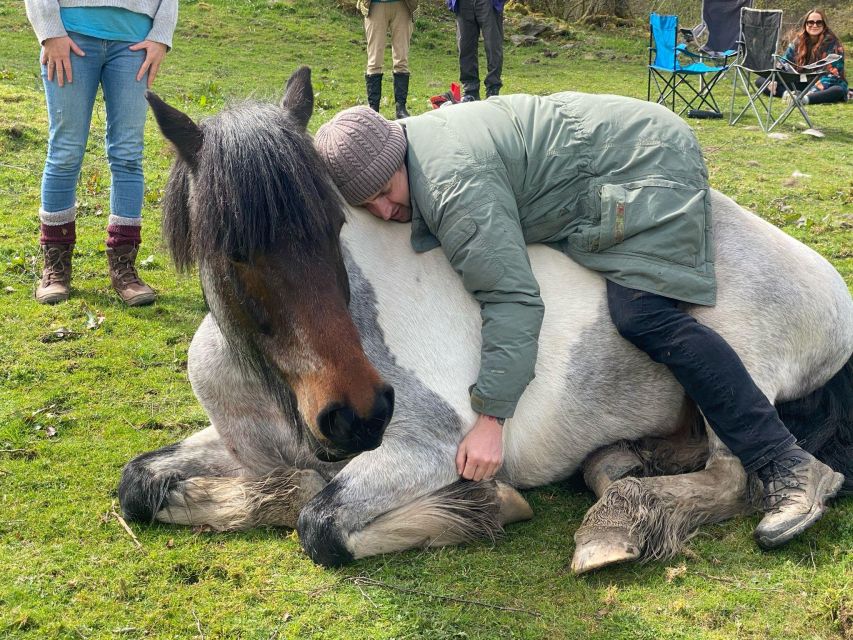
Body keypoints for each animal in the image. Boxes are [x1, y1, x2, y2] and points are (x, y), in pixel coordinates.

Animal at [120, 67, 852, 572]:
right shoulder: (244, 445)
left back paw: (626, 522)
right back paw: (618, 468)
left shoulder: (427, 448)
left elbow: (320, 525)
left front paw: (484, 506)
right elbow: (139, 482)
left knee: (740, 474)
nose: (358, 416)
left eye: (332, 227)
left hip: (738, 356)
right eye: (235, 250)